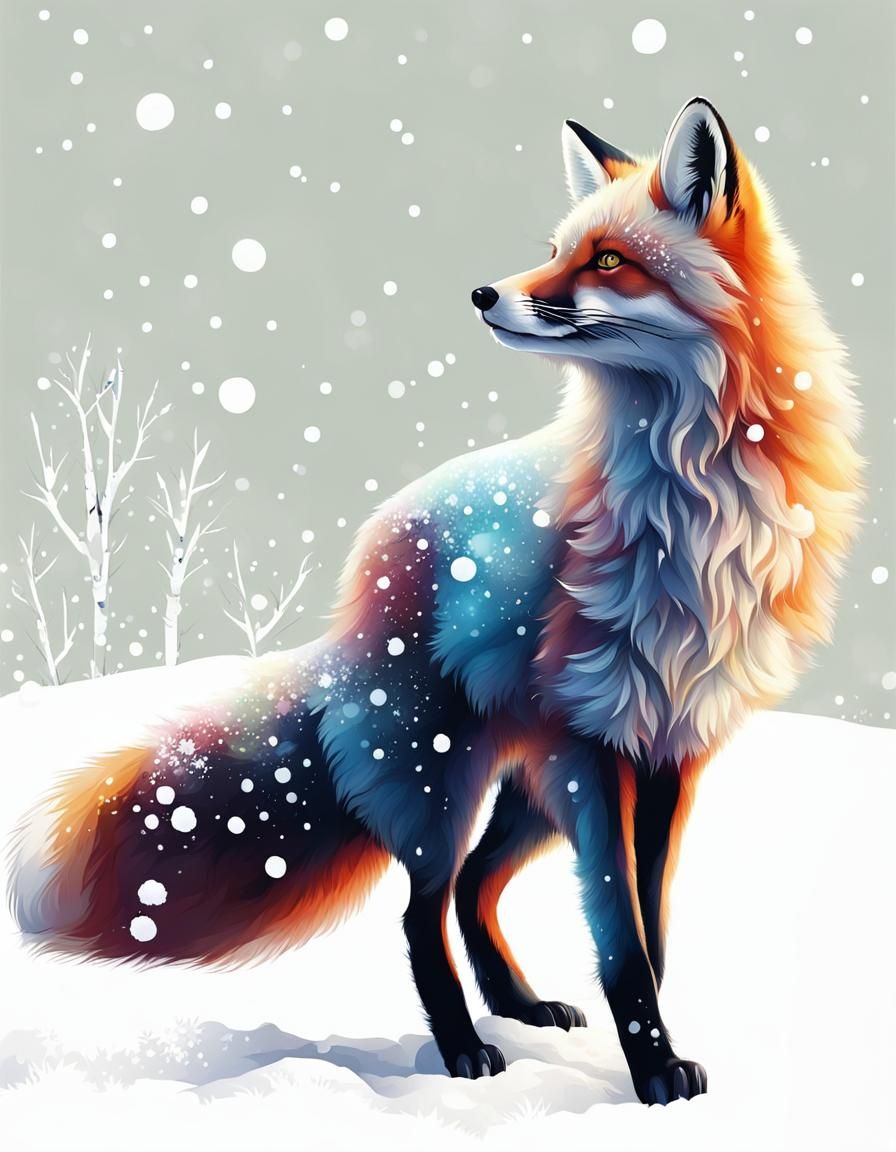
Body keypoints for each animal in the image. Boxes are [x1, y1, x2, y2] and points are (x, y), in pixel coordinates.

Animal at [8, 98, 862, 1105]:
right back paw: (463, 1050)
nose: (485, 295)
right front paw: (652, 1070)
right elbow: (621, 942)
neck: (690, 495)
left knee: (470, 888)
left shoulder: (670, 749)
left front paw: (646, 1051)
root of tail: (354, 593)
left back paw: (520, 1006)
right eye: (557, 250)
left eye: (609, 260)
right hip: (445, 781)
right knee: (423, 913)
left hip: (523, 790)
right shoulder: (595, 746)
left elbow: (648, 925)